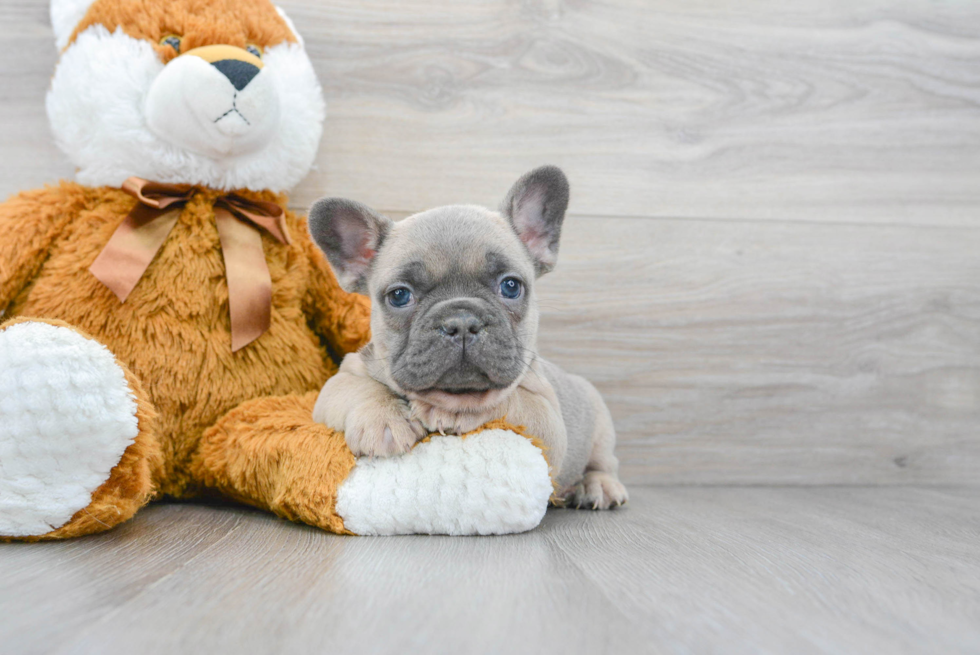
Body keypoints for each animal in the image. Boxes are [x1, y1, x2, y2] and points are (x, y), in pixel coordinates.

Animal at [308, 167, 628, 510]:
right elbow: (357, 389)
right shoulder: (340, 380)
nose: (460, 322)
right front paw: (383, 418)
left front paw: (457, 410)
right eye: (399, 295)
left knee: (603, 462)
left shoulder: (547, 419)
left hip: (600, 423)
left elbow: (511, 400)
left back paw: (598, 486)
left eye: (511, 286)